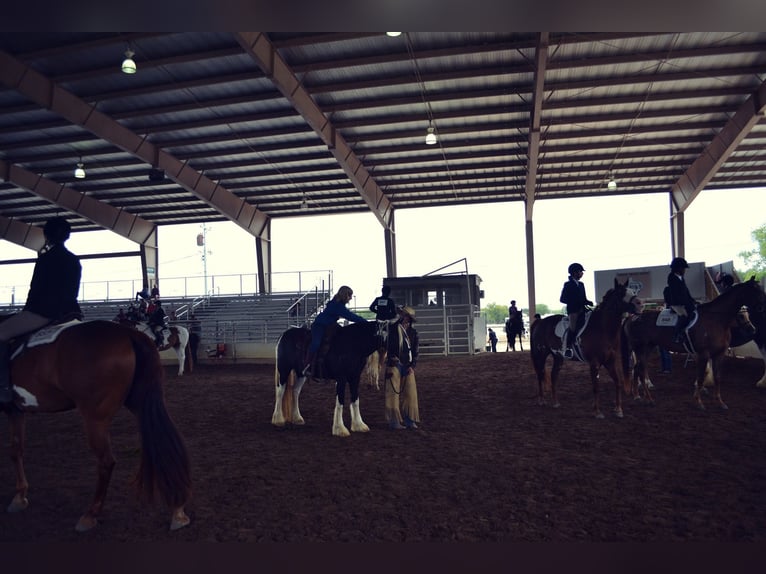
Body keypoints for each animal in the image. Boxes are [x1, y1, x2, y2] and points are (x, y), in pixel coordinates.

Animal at [0, 318, 191, 532]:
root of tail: (128, 334)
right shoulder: (15, 412)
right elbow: (16, 450)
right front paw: (20, 496)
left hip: (95, 418)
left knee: (107, 462)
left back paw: (90, 514)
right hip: (142, 402)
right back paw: (178, 511)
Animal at [528, 282, 640, 420]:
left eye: (633, 292)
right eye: (621, 293)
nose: (639, 304)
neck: (602, 328)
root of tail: (540, 321)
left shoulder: (609, 362)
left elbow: (618, 382)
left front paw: (618, 410)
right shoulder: (594, 363)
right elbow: (596, 387)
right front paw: (597, 412)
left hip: (558, 357)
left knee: (553, 375)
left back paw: (555, 402)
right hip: (540, 354)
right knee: (540, 374)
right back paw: (542, 400)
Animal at [624, 278, 766, 410]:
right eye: (756, 290)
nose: (752, 330)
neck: (716, 319)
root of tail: (633, 317)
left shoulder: (719, 354)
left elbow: (717, 378)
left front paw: (720, 402)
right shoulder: (703, 353)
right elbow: (700, 377)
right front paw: (699, 402)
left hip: (647, 348)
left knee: (638, 369)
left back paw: (638, 396)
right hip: (641, 348)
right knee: (640, 370)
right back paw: (649, 399)